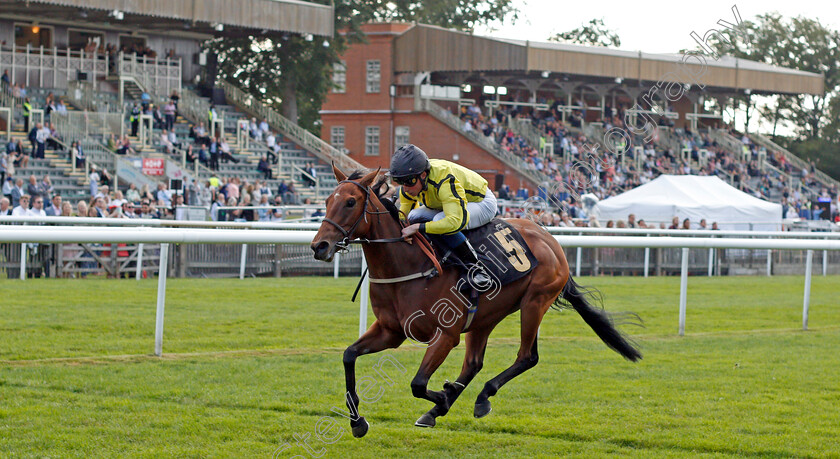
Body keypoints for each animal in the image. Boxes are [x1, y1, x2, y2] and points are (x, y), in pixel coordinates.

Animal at [312, 166, 640, 438]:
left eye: (350, 202)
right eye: (327, 200)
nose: (319, 246)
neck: (408, 265)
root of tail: (550, 239)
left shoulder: (445, 335)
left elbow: (418, 383)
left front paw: (443, 395)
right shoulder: (390, 331)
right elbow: (349, 355)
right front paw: (357, 421)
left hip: (535, 302)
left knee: (527, 357)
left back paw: (479, 398)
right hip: (486, 316)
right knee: (473, 363)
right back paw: (438, 410)